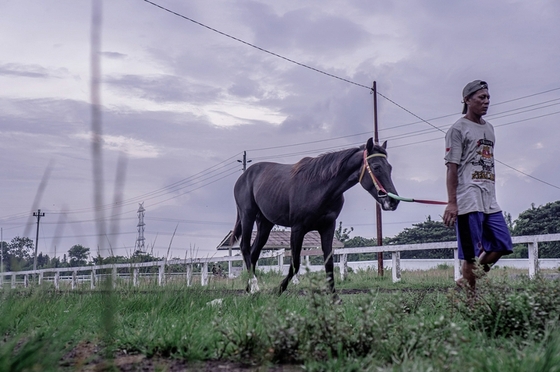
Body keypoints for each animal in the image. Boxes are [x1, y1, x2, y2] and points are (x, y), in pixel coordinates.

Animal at [231, 137, 398, 294]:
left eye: (390, 168)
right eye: (376, 167)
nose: (393, 201)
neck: (319, 188)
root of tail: (244, 176)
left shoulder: (328, 227)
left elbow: (329, 263)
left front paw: (334, 297)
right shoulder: (297, 229)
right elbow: (295, 264)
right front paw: (279, 289)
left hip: (265, 223)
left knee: (254, 253)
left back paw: (249, 288)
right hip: (247, 215)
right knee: (245, 247)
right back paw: (255, 286)